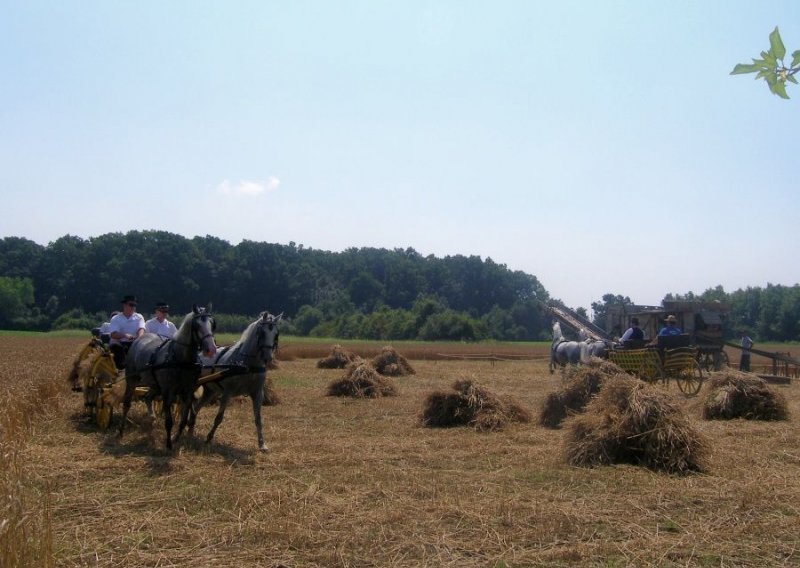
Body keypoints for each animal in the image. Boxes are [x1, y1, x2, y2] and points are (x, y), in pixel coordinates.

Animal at [119, 304, 217, 450]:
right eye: (197, 325)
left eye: (212, 323)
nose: (211, 349)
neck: (181, 360)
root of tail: (138, 339)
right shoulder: (168, 392)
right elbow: (169, 421)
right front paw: (169, 444)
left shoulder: (187, 392)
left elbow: (183, 420)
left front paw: (176, 439)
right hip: (132, 379)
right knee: (127, 403)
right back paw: (121, 430)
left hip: (154, 384)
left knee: (148, 397)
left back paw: (152, 418)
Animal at [188, 310, 284, 452]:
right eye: (262, 333)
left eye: (276, 334)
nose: (268, 358)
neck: (247, 365)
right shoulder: (227, 392)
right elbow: (219, 417)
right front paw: (209, 437)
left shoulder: (258, 393)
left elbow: (258, 419)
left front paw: (262, 444)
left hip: (209, 391)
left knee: (196, 407)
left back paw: (190, 429)